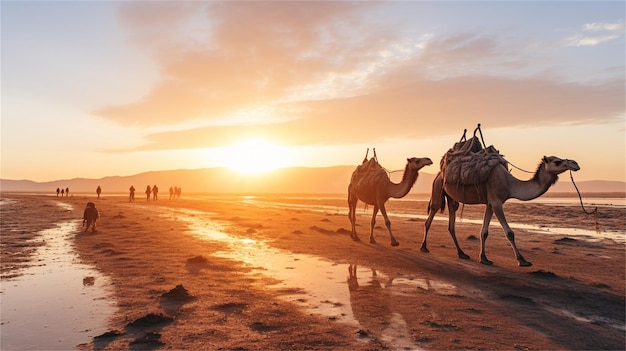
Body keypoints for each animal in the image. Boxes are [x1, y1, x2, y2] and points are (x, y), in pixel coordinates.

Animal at [420, 155, 580, 268]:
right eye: (557, 161)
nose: (575, 163)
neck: (510, 184)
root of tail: (439, 173)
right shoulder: (497, 203)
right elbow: (509, 233)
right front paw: (522, 260)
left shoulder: (490, 204)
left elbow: (484, 231)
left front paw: (484, 258)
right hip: (438, 188)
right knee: (430, 216)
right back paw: (424, 247)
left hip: (452, 198)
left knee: (451, 223)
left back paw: (462, 253)